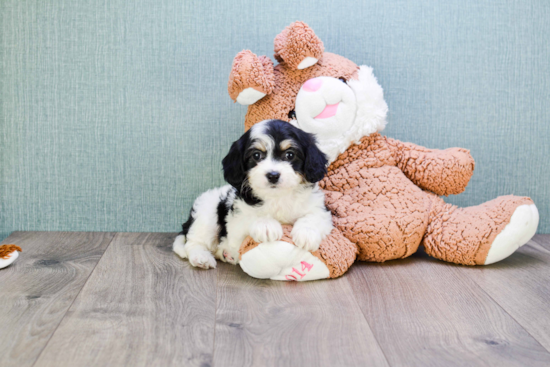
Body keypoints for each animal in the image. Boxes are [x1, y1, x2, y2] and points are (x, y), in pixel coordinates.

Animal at [175, 119, 334, 268]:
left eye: (290, 155)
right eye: (256, 155)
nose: (273, 175)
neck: (277, 197)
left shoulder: (319, 209)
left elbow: (313, 216)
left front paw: (306, 233)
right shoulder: (235, 221)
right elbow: (250, 216)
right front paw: (266, 225)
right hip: (206, 214)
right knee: (194, 242)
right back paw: (201, 257)